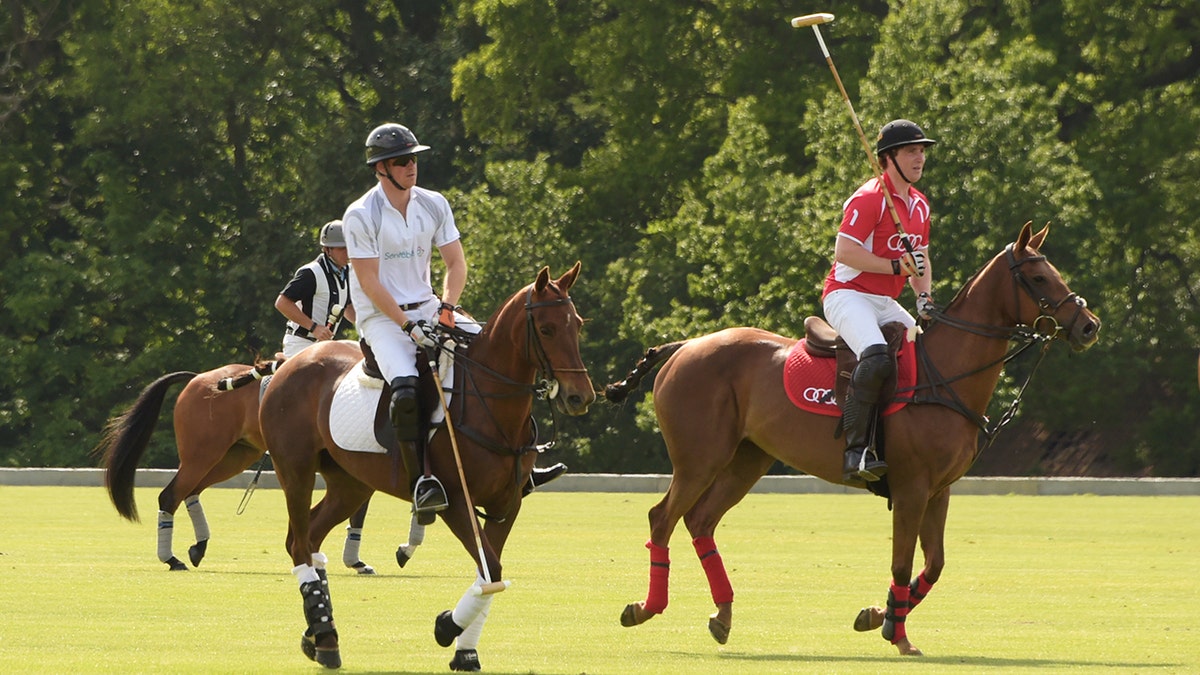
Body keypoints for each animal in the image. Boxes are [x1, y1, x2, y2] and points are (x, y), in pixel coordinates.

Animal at [99, 355, 379, 569]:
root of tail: (197, 377)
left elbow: (359, 509)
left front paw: (357, 561)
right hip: (202, 454)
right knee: (170, 495)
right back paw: (172, 559)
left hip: (235, 455)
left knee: (191, 491)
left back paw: (198, 547)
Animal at [260, 263, 592, 667]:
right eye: (546, 328)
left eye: (577, 324)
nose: (580, 397)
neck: (488, 402)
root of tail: (287, 365)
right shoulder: (455, 500)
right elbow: (491, 569)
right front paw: (447, 627)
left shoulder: (507, 504)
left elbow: (488, 571)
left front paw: (466, 651)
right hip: (295, 468)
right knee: (298, 543)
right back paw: (324, 634)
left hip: (350, 483)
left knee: (309, 537)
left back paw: (320, 637)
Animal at [604, 223, 1099, 653]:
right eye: (1038, 277)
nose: (1089, 325)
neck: (944, 372)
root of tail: (683, 346)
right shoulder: (912, 487)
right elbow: (902, 560)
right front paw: (899, 637)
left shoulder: (940, 489)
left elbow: (934, 564)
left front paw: (879, 616)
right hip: (699, 457)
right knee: (662, 518)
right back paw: (646, 608)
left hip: (748, 459)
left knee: (700, 521)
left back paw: (722, 616)